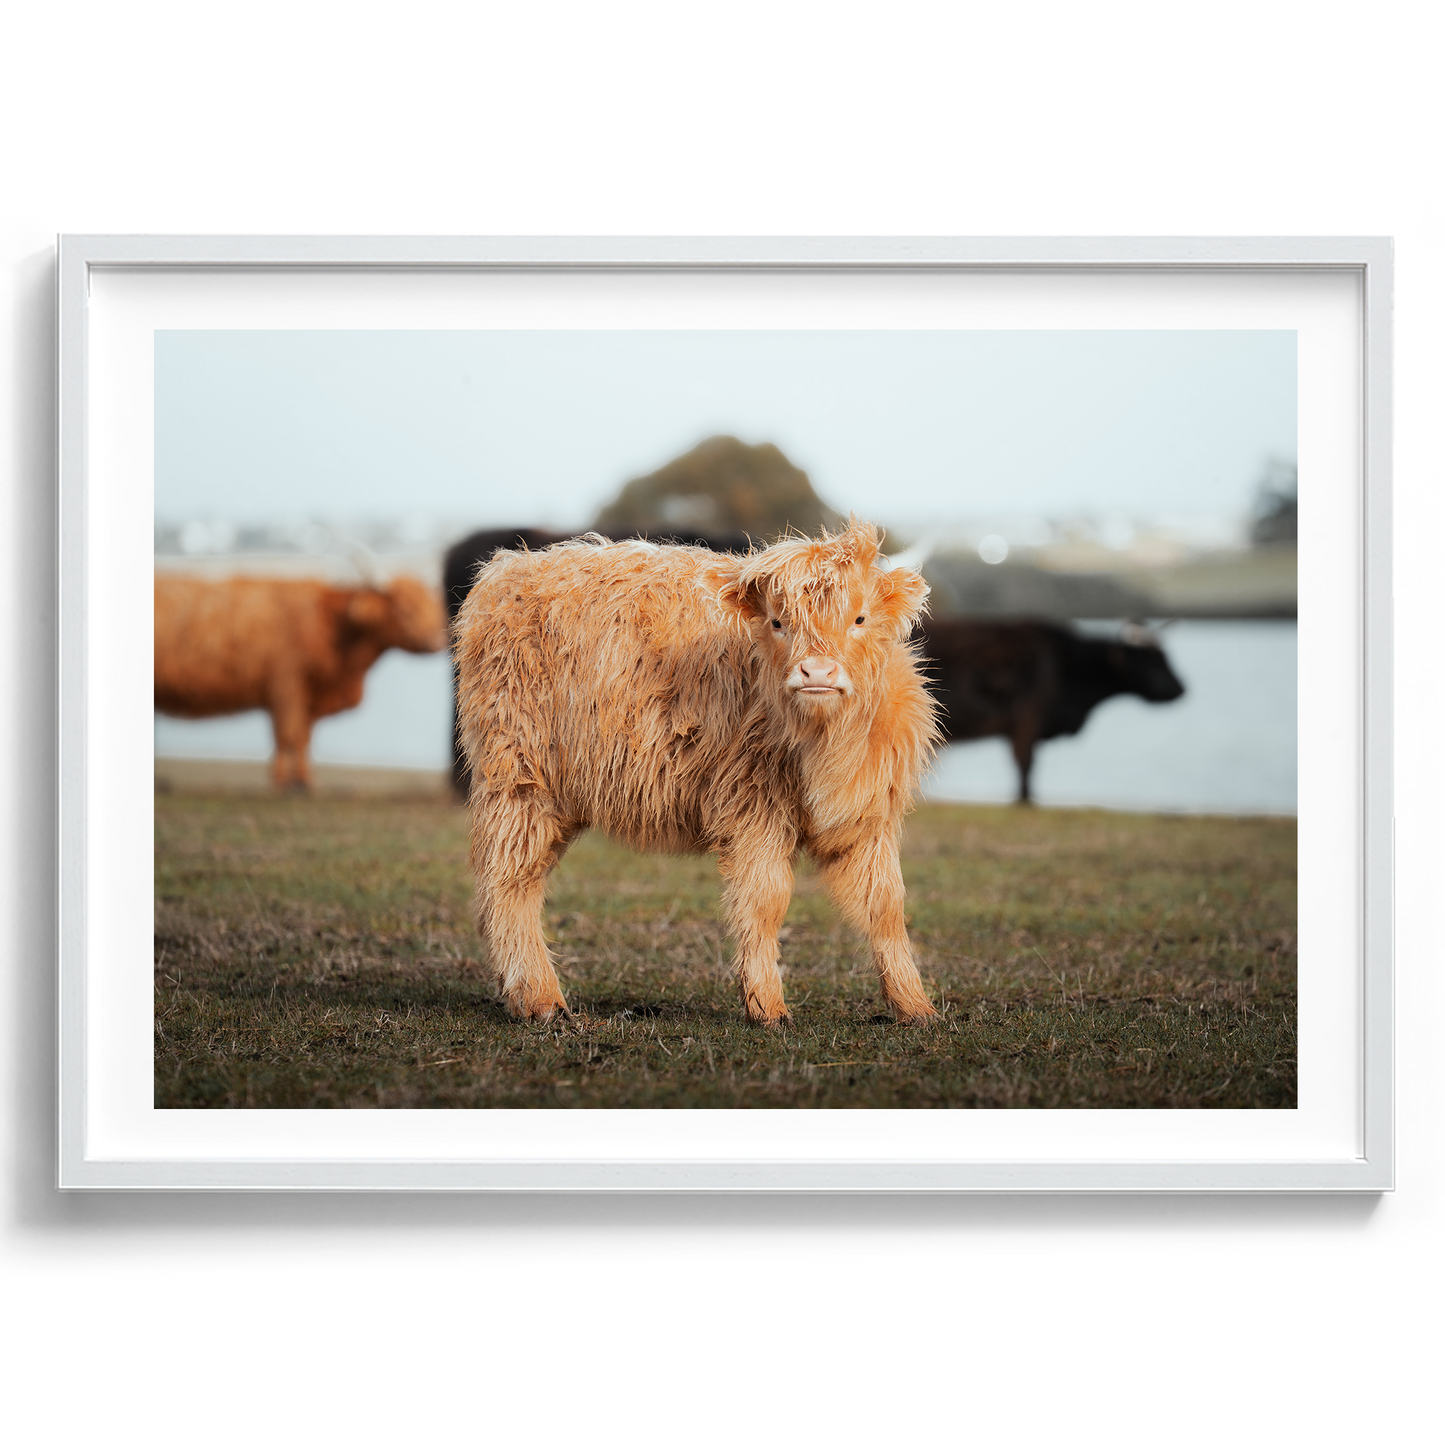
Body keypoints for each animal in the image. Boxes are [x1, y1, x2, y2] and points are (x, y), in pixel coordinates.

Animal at [155, 573, 448, 791]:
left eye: (431, 606)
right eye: (405, 609)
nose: (435, 642)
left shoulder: (305, 695)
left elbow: (303, 737)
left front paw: (303, 780)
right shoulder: (286, 686)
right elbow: (289, 735)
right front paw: (285, 783)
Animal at [915, 618, 1185, 804]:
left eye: (1165, 657)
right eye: (1153, 660)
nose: (1181, 688)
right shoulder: (1028, 722)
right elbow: (1026, 765)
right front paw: (1024, 800)